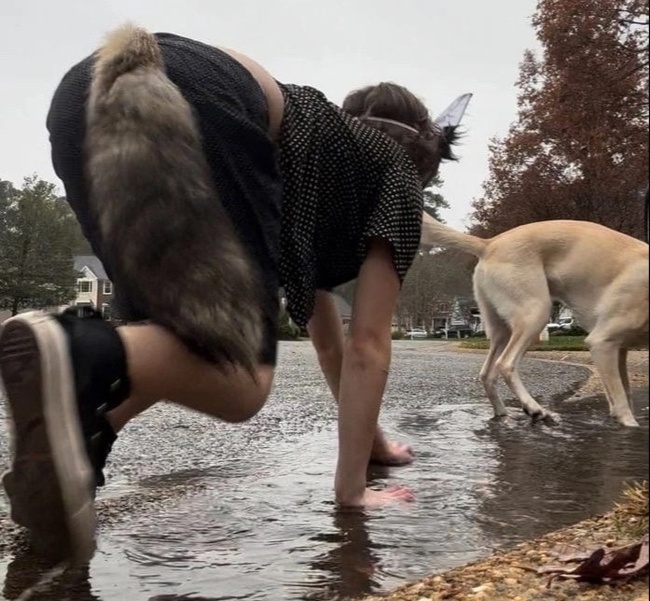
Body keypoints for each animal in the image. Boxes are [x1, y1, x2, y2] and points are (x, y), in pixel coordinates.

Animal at [418, 213, 644, 424]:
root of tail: (489, 244)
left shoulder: (617, 349)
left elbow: (624, 390)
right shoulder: (601, 342)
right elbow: (620, 396)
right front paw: (629, 423)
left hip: (502, 328)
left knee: (487, 373)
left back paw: (503, 413)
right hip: (535, 313)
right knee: (505, 364)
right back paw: (534, 408)